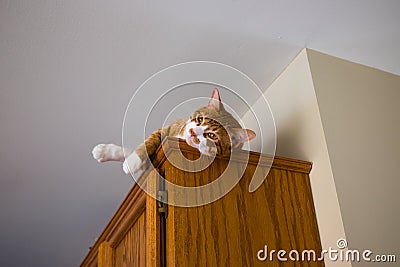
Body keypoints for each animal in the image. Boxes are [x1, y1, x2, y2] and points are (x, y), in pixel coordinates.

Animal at [92, 88, 255, 176]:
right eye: (200, 119)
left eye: (211, 135)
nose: (193, 132)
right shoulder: (167, 129)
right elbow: (146, 143)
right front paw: (107, 152)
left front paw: (131, 163)